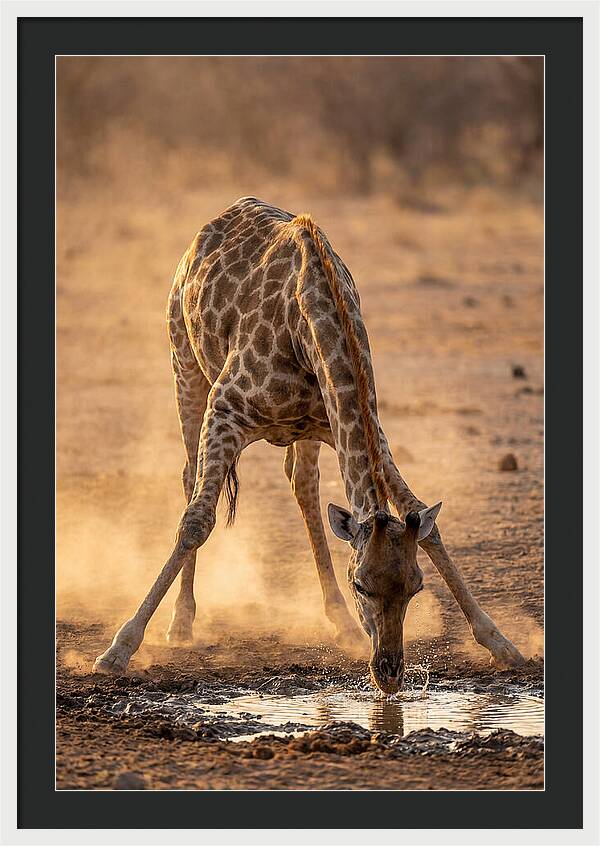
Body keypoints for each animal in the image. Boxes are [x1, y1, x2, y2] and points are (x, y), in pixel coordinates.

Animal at [93, 197, 525, 689]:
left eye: (415, 586)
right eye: (362, 584)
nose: (389, 673)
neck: (312, 322)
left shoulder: (358, 425)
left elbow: (425, 523)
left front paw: (501, 642)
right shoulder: (225, 410)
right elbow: (197, 522)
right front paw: (119, 648)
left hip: (305, 431)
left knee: (303, 484)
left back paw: (340, 622)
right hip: (184, 364)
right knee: (190, 480)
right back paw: (181, 623)